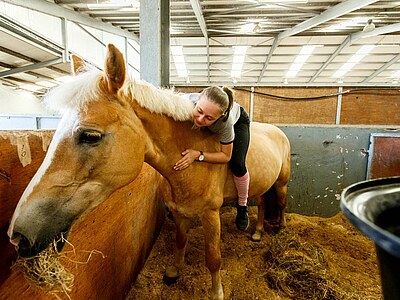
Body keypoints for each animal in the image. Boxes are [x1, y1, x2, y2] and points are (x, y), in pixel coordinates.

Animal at [7, 44, 290, 300]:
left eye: (90, 136)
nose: (17, 234)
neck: (189, 164)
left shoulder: (211, 215)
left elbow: (213, 259)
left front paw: (216, 292)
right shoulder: (179, 211)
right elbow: (180, 242)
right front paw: (174, 272)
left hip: (281, 183)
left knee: (279, 202)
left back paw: (278, 228)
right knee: (262, 203)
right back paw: (257, 232)